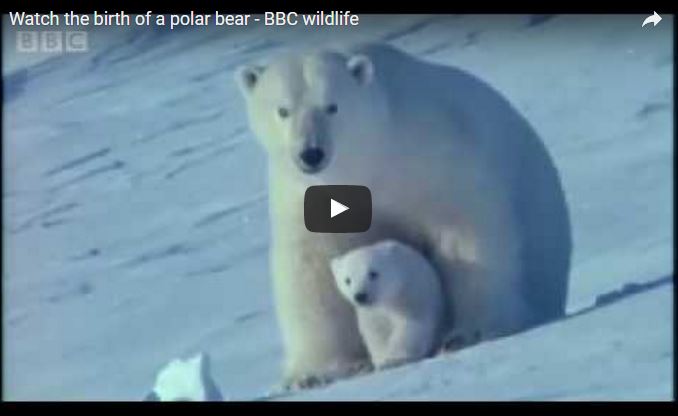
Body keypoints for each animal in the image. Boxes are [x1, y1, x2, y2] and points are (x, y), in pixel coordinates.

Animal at [330, 240, 444, 370]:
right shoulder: (372, 314)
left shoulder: (413, 296)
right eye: (347, 280)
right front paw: (381, 358)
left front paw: (395, 358)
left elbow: (412, 326)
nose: (360, 296)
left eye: (373, 273)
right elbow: (376, 333)